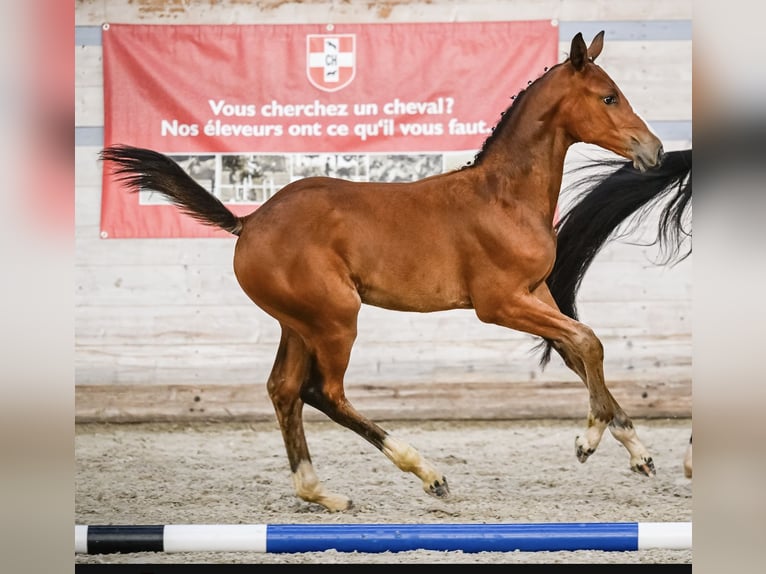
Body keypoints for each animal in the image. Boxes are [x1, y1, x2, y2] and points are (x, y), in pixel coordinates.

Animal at [100, 31, 664, 512]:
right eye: (609, 97)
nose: (654, 150)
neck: (506, 197)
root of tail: (249, 221)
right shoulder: (499, 303)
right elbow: (588, 341)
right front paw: (587, 440)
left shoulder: (536, 294)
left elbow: (578, 351)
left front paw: (637, 451)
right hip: (335, 319)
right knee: (322, 393)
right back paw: (427, 473)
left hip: (299, 323)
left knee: (284, 390)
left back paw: (321, 493)